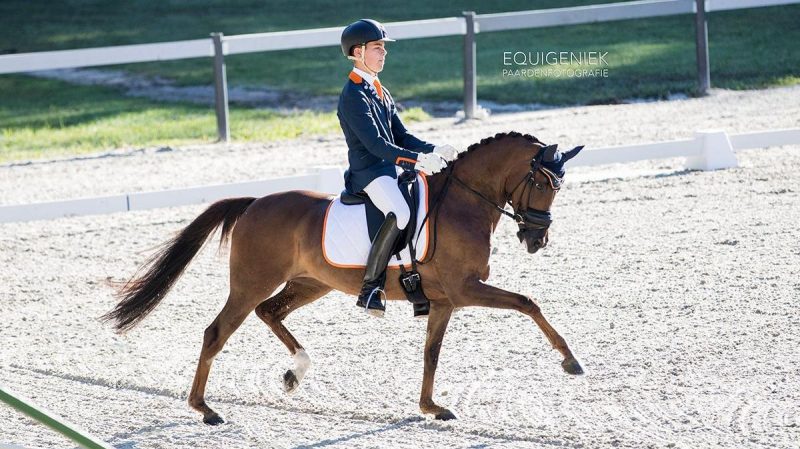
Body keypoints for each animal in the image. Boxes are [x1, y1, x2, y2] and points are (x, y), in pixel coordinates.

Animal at [102, 131, 585, 424]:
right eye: (544, 184)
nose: (537, 239)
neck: (464, 204)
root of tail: (255, 202)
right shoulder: (465, 290)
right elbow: (527, 302)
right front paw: (570, 361)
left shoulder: (445, 301)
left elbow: (431, 354)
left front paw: (430, 407)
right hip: (251, 283)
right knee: (217, 332)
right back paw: (205, 409)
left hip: (311, 283)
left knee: (270, 312)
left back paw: (295, 372)